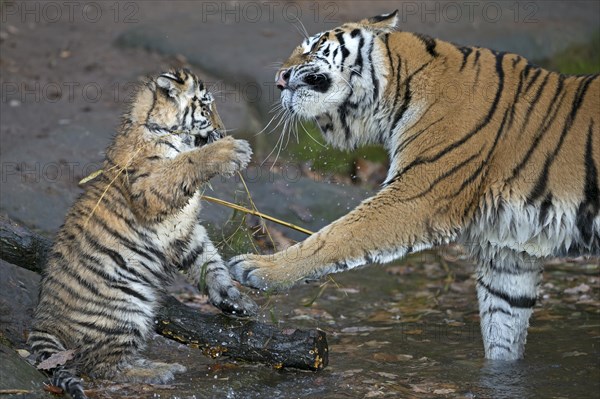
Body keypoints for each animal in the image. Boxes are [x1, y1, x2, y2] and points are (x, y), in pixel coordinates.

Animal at [229, 10, 596, 360]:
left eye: (313, 46)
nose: (278, 79)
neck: (397, 91)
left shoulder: (417, 196)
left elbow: (337, 235)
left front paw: (259, 269)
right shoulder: (508, 250)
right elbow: (503, 333)